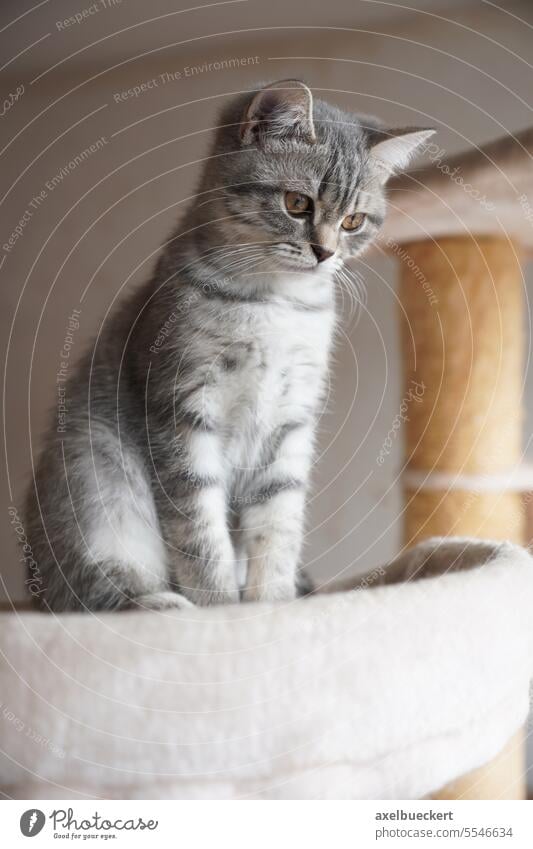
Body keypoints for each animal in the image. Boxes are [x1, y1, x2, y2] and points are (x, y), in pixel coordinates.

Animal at [23, 79, 432, 608]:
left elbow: (278, 526)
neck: (276, 304)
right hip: (94, 475)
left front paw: (272, 605)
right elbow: (200, 533)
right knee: (82, 588)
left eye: (353, 221)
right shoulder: (181, 409)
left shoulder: (292, 420)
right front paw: (219, 610)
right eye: (297, 203)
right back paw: (158, 602)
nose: (325, 253)